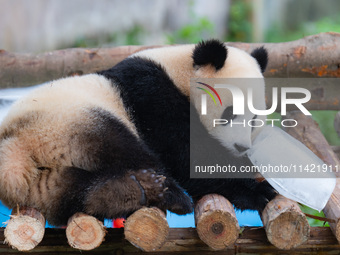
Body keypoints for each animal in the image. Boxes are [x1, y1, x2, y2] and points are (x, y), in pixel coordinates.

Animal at [0, 39, 276, 225]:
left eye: (254, 120)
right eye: (230, 113)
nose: (242, 147)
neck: (179, 71)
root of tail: (16, 147)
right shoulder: (152, 95)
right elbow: (188, 155)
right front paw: (258, 191)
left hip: (43, 184)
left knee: (71, 192)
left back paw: (119, 194)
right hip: (71, 119)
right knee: (123, 147)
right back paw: (168, 193)